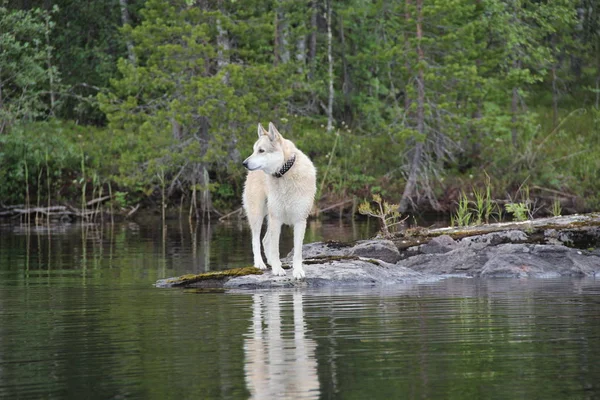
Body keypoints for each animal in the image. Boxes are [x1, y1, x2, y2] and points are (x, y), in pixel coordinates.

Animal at [244, 123, 318, 280]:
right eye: (254, 150)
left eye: (261, 150)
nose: (244, 163)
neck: (285, 172)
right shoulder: (276, 219)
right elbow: (275, 248)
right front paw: (278, 270)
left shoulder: (300, 220)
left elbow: (297, 251)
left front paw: (297, 271)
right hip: (258, 214)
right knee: (256, 240)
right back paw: (260, 263)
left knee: (265, 240)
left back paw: (272, 263)